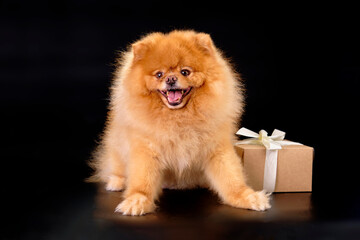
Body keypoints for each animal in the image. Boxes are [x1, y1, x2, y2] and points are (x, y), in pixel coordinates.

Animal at [90, 30, 270, 216]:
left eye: (185, 72)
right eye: (159, 74)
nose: (170, 79)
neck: (179, 118)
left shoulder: (217, 149)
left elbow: (232, 179)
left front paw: (248, 197)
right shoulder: (146, 150)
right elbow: (142, 180)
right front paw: (136, 201)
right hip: (116, 147)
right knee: (114, 165)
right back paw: (116, 182)